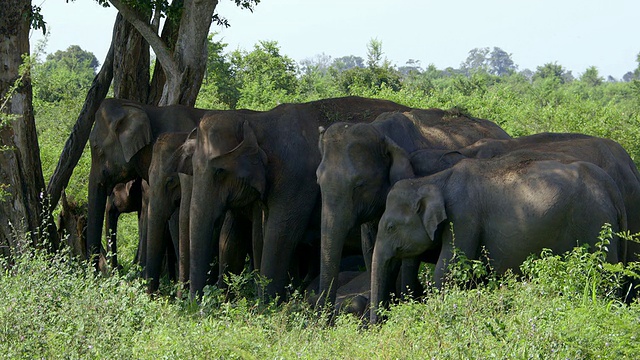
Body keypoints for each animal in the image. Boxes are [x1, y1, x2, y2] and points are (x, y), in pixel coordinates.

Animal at [181, 95, 410, 298]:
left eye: (219, 171)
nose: (195, 305)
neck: (258, 121)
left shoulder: (296, 180)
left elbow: (281, 234)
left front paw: (265, 307)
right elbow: (263, 232)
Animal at [372, 150, 628, 324]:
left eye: (391, 227)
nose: (376, 327)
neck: (433, 180)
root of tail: (612, 187)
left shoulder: (464, 218)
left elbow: (447, 270)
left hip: (594, 223)